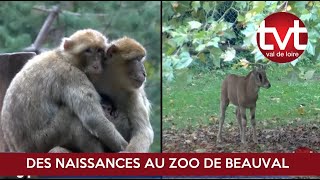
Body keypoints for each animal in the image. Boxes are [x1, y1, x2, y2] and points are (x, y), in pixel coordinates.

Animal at [1, 28, 129, 153]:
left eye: (99, 51)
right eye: (88, 51)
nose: (96, 65)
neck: (64, 58)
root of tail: (17, 148)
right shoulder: (72, 75)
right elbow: (94, 119)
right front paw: (124, 146)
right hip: (42, 141)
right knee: (71, 117)